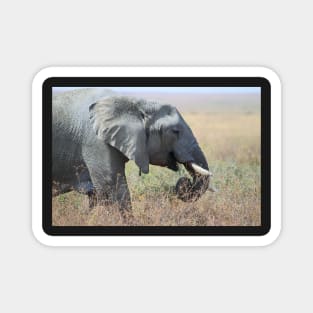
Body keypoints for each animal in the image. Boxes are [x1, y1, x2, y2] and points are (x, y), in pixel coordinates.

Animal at [51, 86, 214, 211]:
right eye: (175, 131)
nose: (185, 181)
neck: (135, 103)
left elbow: (98, 195)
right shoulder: (95, 142)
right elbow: (112, 189)